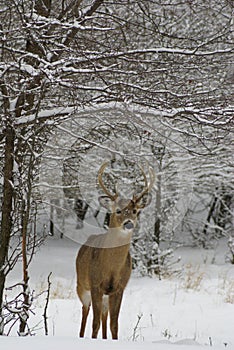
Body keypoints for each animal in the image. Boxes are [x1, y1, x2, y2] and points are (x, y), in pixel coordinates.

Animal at [76, 161, 154, 340]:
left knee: (104, 315)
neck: (110, 268)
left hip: (105, 295)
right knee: (85, 311)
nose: (129, 223)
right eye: (118, 210)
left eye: (135, 211)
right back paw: (81, 336)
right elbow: (95, 324)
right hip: (81, 285)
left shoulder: (119, 288)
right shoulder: (95, 284)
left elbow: (114, 325)